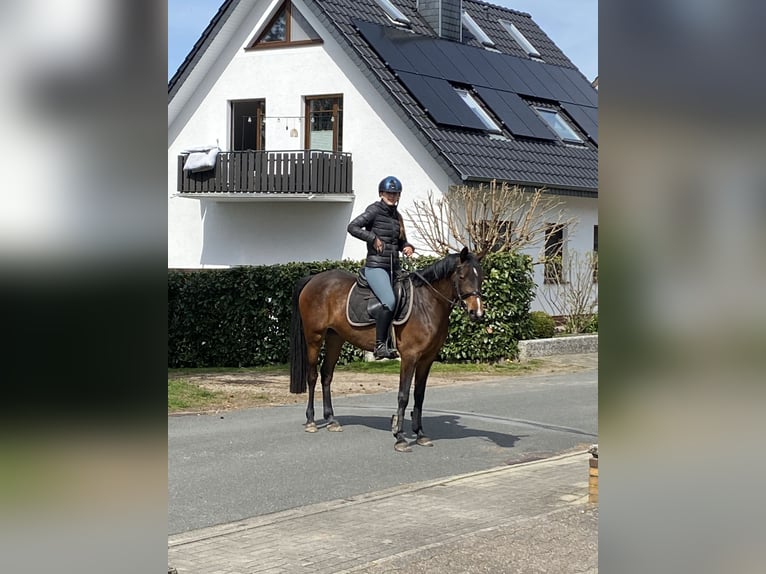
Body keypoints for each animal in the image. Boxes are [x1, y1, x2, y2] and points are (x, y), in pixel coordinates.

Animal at [290, 248, 486, 454]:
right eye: (462, 276)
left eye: (481, 277)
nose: (477, 313)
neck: (426, 304)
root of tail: (313, 279)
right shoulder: (409, 357)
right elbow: (403, 395)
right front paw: (399, 437)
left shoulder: (427, 359)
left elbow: (419, 395)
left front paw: (420, 434)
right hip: (314, 338)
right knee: (312, 376)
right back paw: (311, 420)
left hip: (335, 338)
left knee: (327, 375)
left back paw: (331, 420)